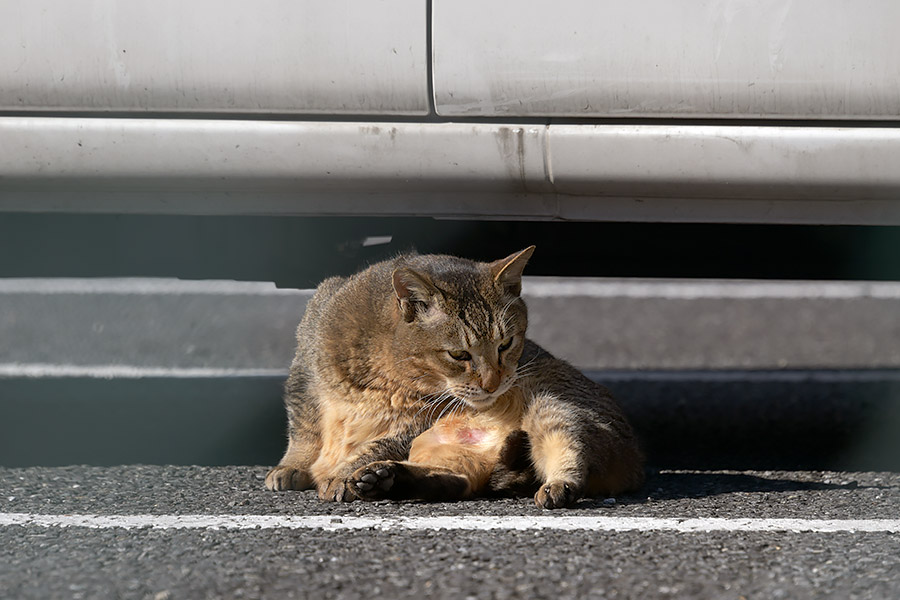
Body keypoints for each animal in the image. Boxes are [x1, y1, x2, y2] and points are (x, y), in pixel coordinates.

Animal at [264, 246, 644, 508]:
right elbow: (304, 431)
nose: (493, 384)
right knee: (454, 482)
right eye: (459, 355)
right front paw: (292, 466)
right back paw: (385, 479)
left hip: (555, 408)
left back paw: (559, 485)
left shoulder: (415, 421)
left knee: (569, 454)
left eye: (506, 344)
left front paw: (342, 475)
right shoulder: (303, 375)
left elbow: (373, 445)